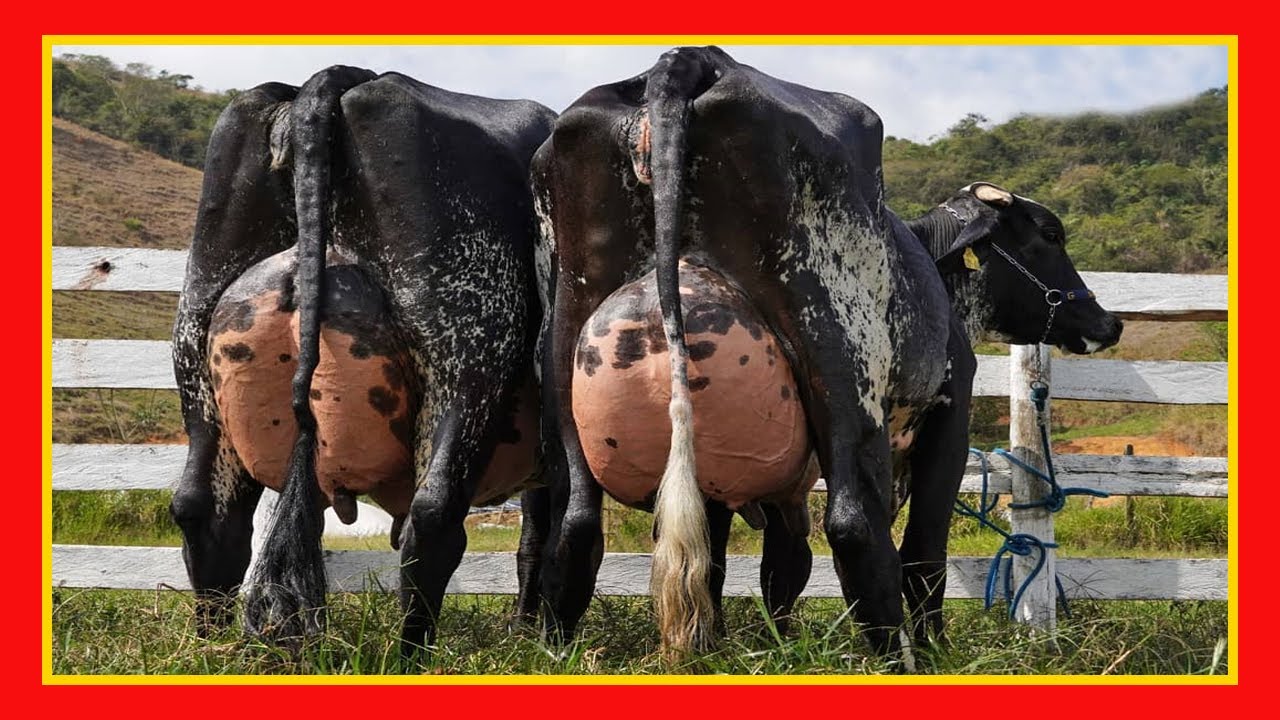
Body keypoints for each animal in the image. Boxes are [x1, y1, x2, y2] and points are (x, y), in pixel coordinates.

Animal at [168, 65, 556, 662]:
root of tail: (340, 82)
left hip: (195, 342)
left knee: (204, 511)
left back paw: (213, 654)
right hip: (470, 353)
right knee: (433, 516)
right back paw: (413, 659)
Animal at [530, 46, 1121, 661]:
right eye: (1050, 234)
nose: (1108, 321)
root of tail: (693, 61)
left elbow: (757, 565)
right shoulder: (948, 412)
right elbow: (921, 553)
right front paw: (935, 649)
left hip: (565, 366)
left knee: (575, 528)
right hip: (845, 375)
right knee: (856, 527)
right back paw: (900, 662)